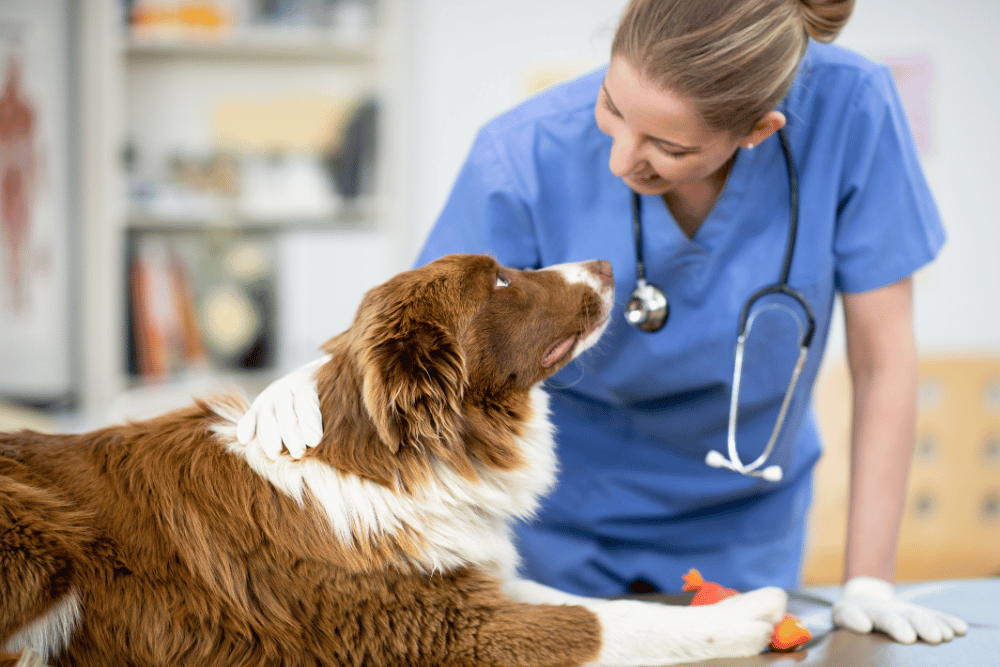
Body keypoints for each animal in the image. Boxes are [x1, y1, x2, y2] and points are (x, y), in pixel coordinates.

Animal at [0, 256, 784, 667]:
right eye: (501, 282)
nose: (606, 263)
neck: (397, 460)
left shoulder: (460, 579)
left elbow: (593, 602)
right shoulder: (434, 629)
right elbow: (597, 626)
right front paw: (749, 613)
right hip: (41, 536)